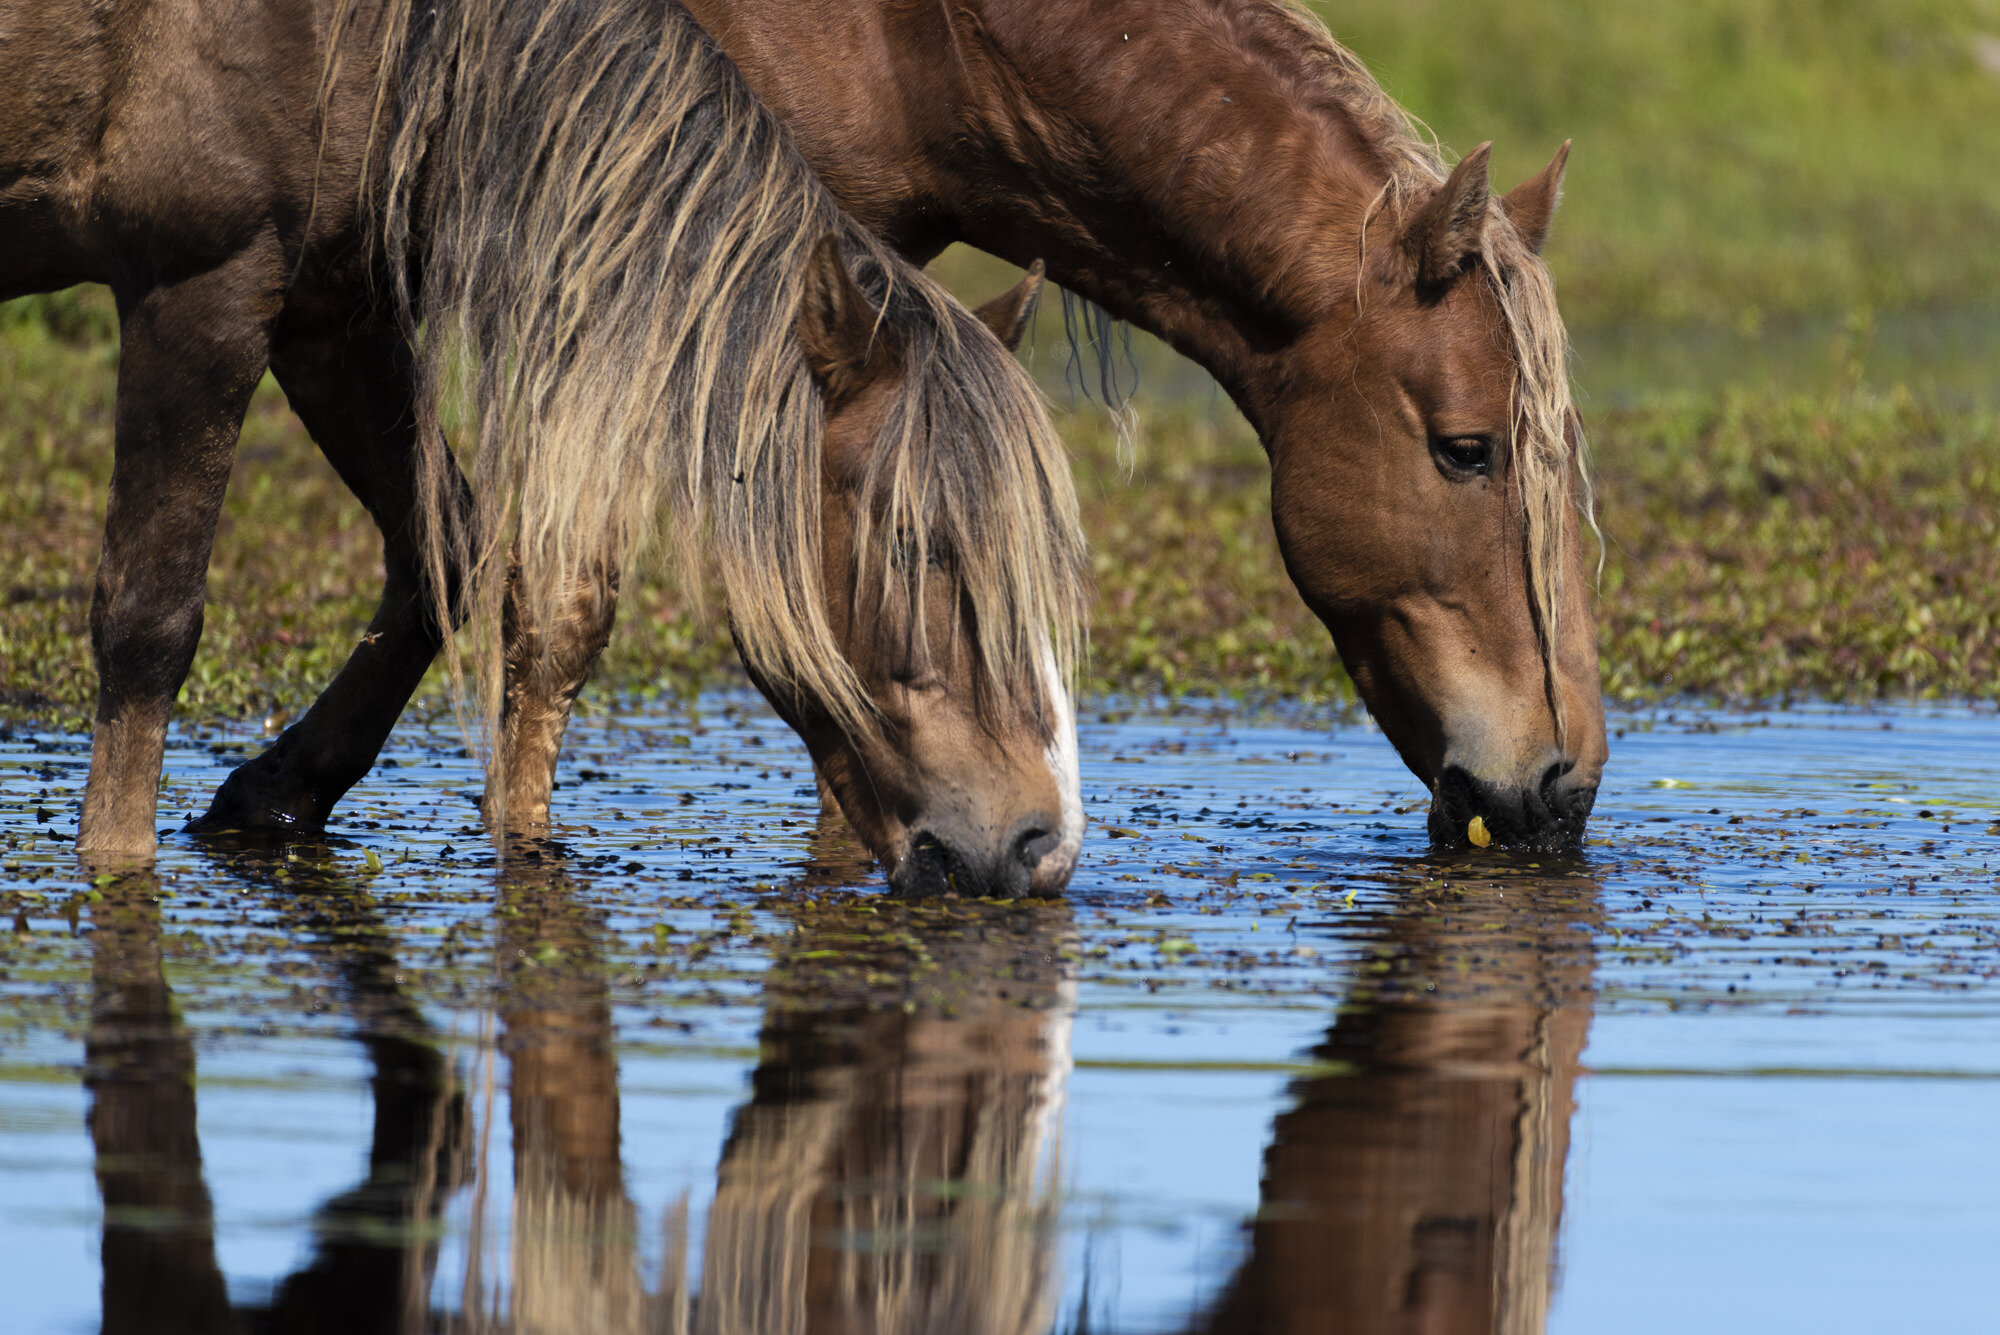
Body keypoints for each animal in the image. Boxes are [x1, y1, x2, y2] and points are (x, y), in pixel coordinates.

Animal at [0, 0, 1090, 897]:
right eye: (909, 544)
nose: (1037, 844)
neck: (357, 35)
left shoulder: (327, 314)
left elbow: (445, 555)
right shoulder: (199, 285)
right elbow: (148, 624)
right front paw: (115, 871)